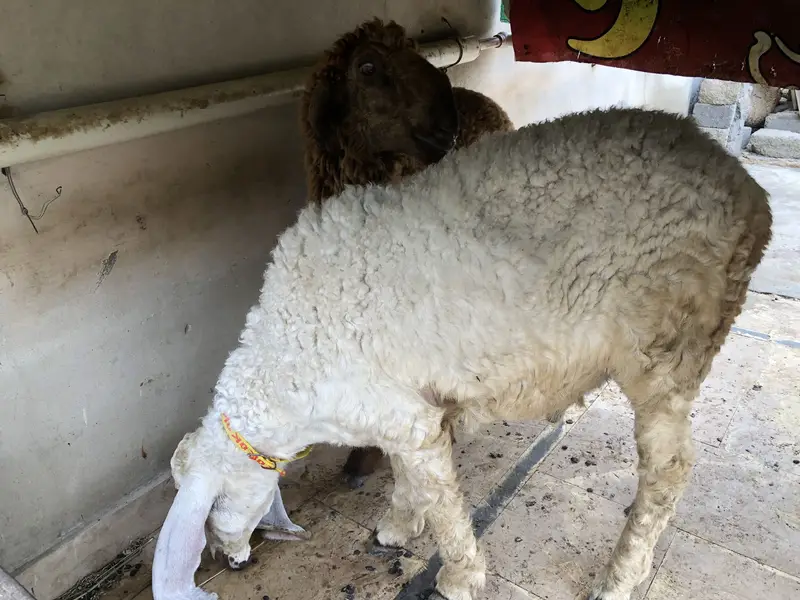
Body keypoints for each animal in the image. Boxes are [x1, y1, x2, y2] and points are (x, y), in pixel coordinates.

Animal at [152, 107, 772, 600]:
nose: (236, 560)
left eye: (210, 521)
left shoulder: (405, 418)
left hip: (666, 347)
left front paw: (459, 576)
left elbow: (444, 505)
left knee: (668, 470)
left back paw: (621, 576)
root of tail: (752, 196)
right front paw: (398, 525)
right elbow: (409, 478)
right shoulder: (403, 407)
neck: (285, 363)